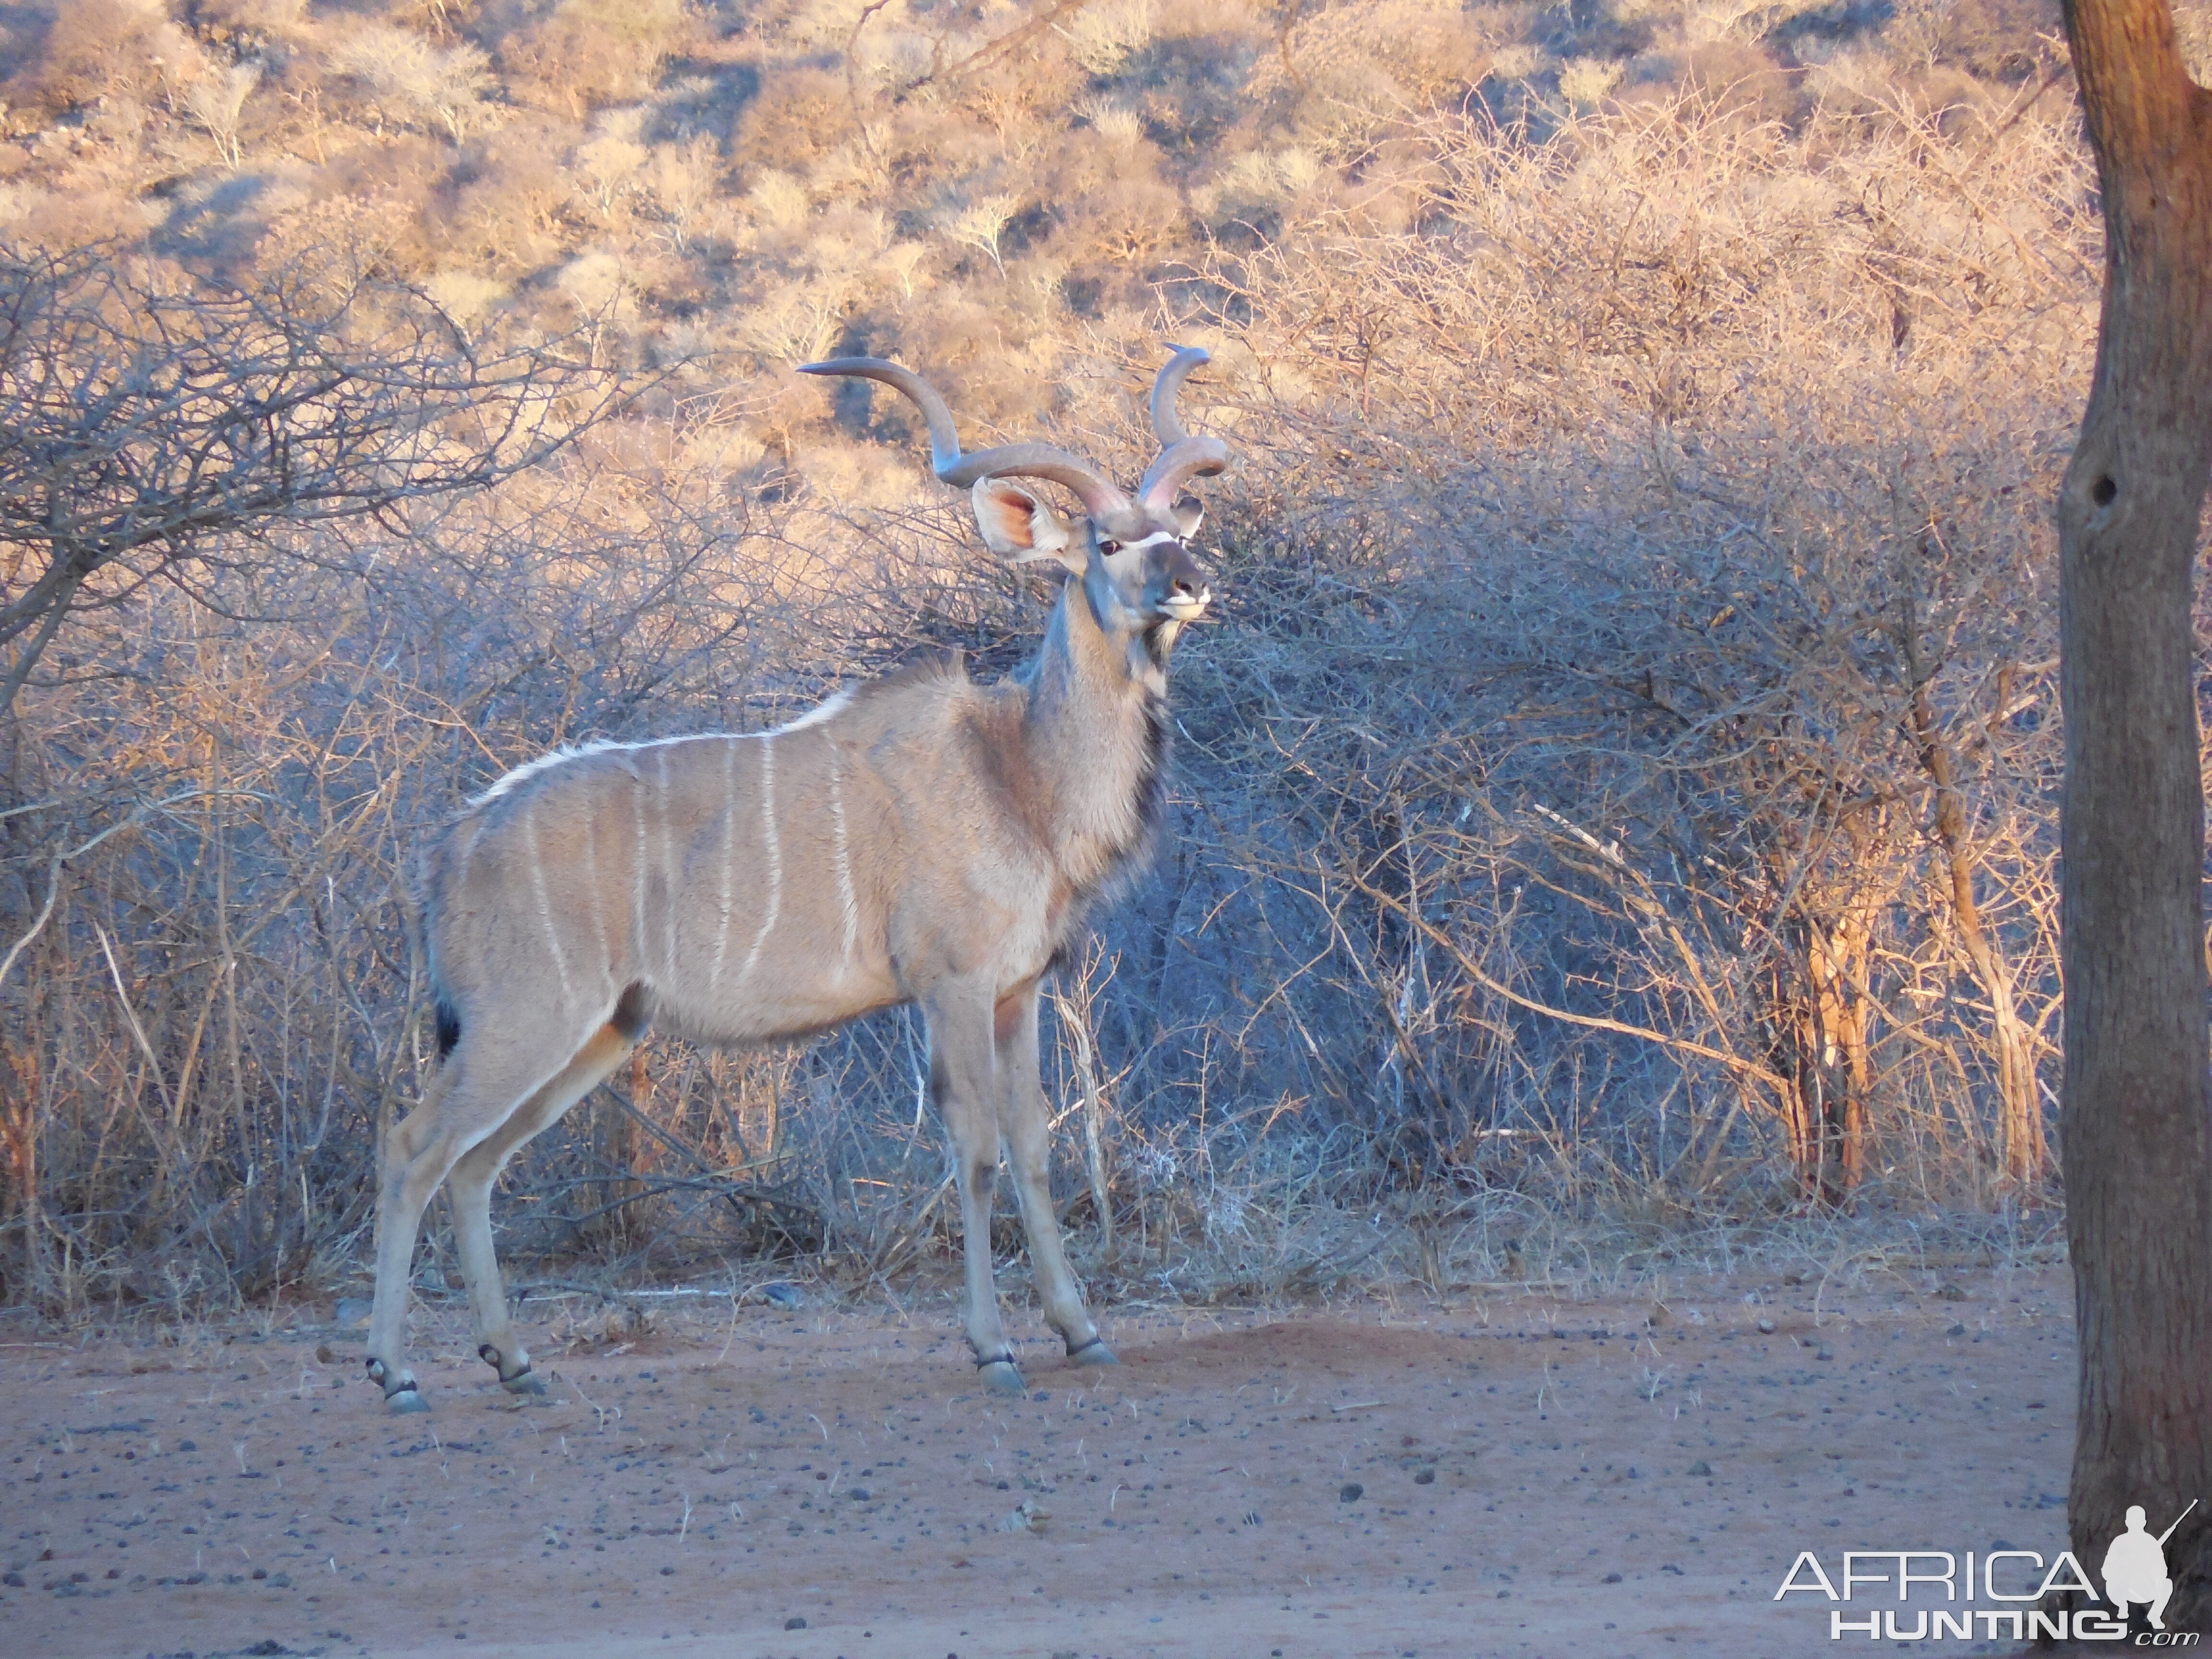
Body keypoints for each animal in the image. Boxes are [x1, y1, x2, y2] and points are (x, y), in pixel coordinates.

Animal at [362, 347, 1230, 1416]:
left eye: (1176, 532)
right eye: (1108, 543)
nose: (1192, 583)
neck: (1016, 768)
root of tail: (453, 842)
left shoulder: (1018, 991)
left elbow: (1034, 1146)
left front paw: (1083, 1332)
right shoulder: (950, 986)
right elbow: (977, 1151)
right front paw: (994, 1349)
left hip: (598, 1033)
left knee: (477, 1163)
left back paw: (516, 1362)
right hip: (524, 1019)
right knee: (413, 1146)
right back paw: (396, 1373)